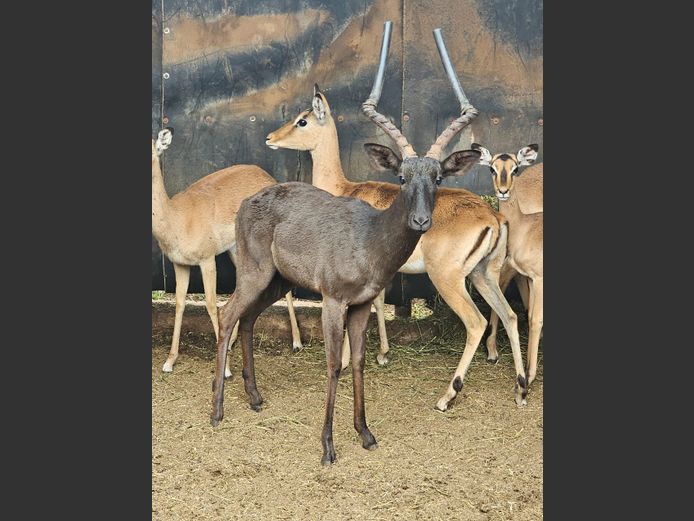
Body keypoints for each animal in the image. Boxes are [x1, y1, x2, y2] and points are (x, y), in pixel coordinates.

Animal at [151, 128, 302, 377]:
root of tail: (268, 177)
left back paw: (297, 342)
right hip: (235, 250)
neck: (178, 218)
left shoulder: (207, 259)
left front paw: (227, 370)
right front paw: (169, 361)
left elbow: (212, 304)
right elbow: (180, 303)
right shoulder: (180, 264)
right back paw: (231, 340)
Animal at [210, 23, 491, 465]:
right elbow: (333, 365)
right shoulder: (334, 301)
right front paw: (327, 446)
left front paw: (365, 433)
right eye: (401, 177)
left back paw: (255, 398)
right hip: (256, 275)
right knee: (227, 315)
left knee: (248, 318)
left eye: (438, 177)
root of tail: (250, 200)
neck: (370, 236)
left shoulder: (360, 305)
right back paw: (218, 411)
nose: (421, 220)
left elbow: (358, 362)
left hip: (277, 281)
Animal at [266, 25, 529, 411]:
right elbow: (376, 301)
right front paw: (382, 354)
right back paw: (521, 388)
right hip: (484, 274)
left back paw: (447, 396)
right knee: (509, 315)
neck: (346, 188)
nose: (270, 137)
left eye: (302, 120)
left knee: (476, 323)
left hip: (448, 279)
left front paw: (358, 359)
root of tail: (492, 216)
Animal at [475, 143, 543, 384]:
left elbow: (535, 320)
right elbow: (530, 315)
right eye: (492, 168)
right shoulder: (530, 278)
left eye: (515, 168)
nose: (503, 191)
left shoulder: (540, 279)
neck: (526, 227)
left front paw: (528, 377)